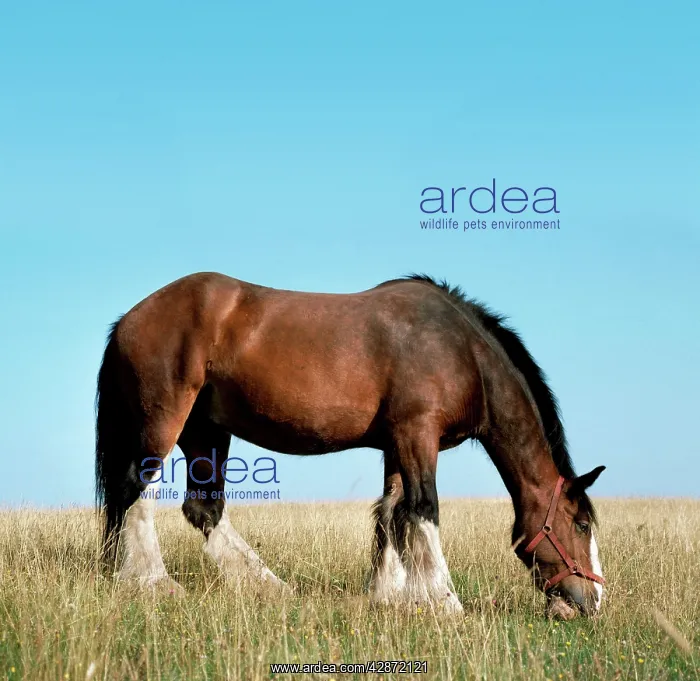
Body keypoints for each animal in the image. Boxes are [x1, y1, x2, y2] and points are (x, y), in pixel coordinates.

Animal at [95, 272, 605, 616]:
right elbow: (423, 509)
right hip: (166, 420)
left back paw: (269, 586)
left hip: (205, 430)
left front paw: (390, 595)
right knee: (139, 492)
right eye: (580, 524)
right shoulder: (418, 433)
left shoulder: (397, 443)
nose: (592, 601)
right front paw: (445, 601)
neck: (460, 350)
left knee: (202, 508)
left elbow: (391, 513)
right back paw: (154, 581)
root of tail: (129, 319)